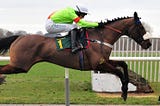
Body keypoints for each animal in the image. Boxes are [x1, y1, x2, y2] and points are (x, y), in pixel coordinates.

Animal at [0, 12, 151, 100]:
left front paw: (126, 89)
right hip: (20, 65)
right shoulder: (98, 64)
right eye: (141, 27)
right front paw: (124, 92)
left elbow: (123, 64)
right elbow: (119, 73)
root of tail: (19, 37)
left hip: (19, 66)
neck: (100, 38)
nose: (148, 44)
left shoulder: (104, 61)